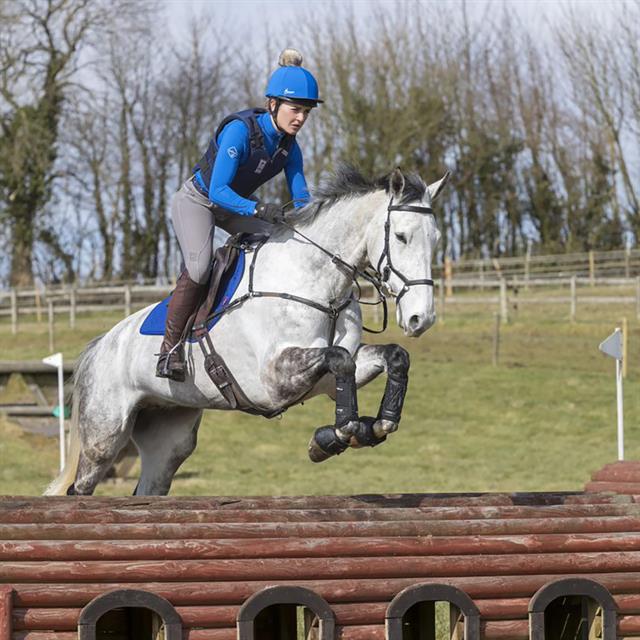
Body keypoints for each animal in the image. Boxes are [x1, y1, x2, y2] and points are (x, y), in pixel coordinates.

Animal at [45, 165, 448, 496]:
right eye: (401, 236)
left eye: (436, 239)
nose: (421, 319)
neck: (317, 283)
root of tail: (100, 344)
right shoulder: (273, 379)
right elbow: (339, 361)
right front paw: (340, 435)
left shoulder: (321, 377)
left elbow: (391, 356)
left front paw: (378, 423)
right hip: (105, 432)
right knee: (81, 486)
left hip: (169, 434)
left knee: (149, 488)